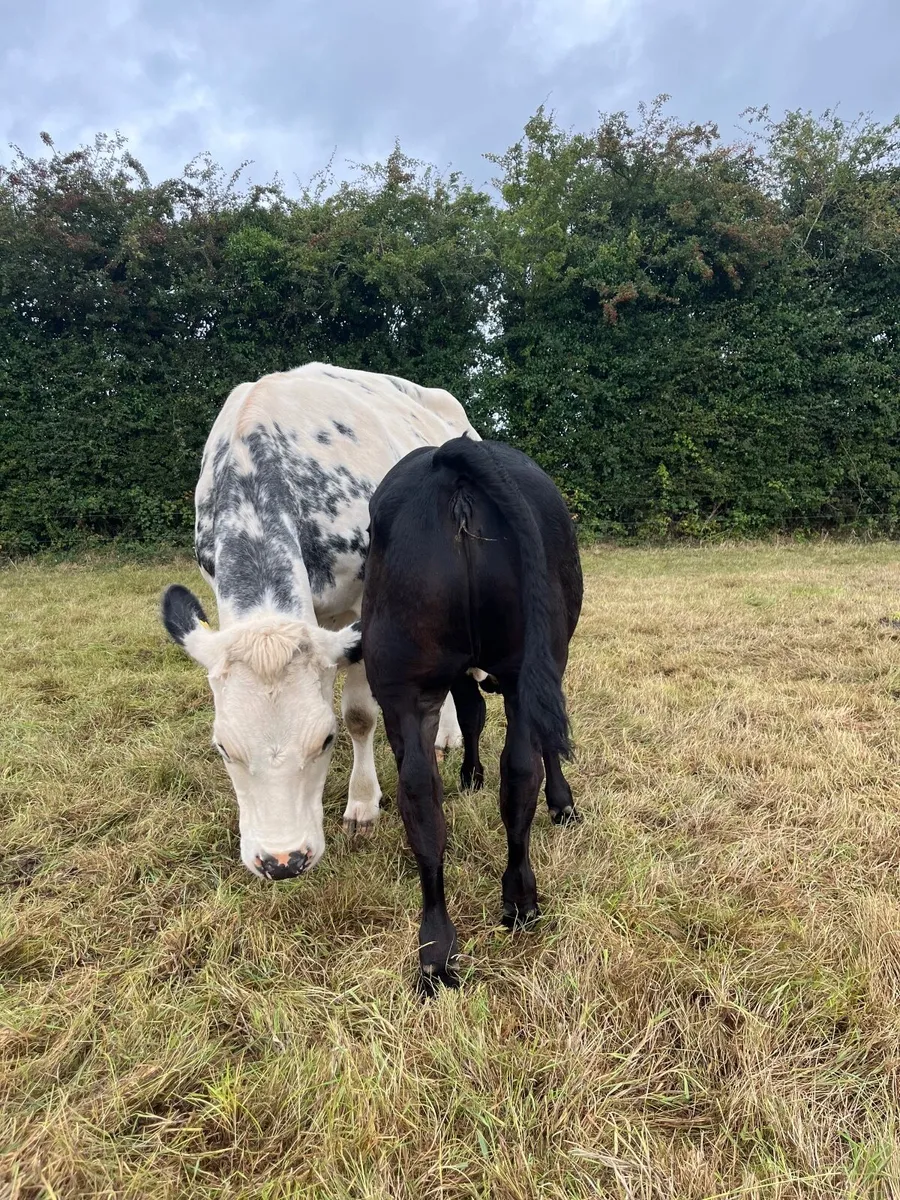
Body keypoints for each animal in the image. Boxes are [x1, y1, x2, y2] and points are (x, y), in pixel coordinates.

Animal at [360, 434, 583, 993]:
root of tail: (451, 457)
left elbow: (473, 715)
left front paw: (471, 775)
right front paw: (561, 802)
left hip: (405, 683)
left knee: (421, 793)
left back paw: (437, 948)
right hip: (520, 663)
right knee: (518, 772)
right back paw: (519, 900)